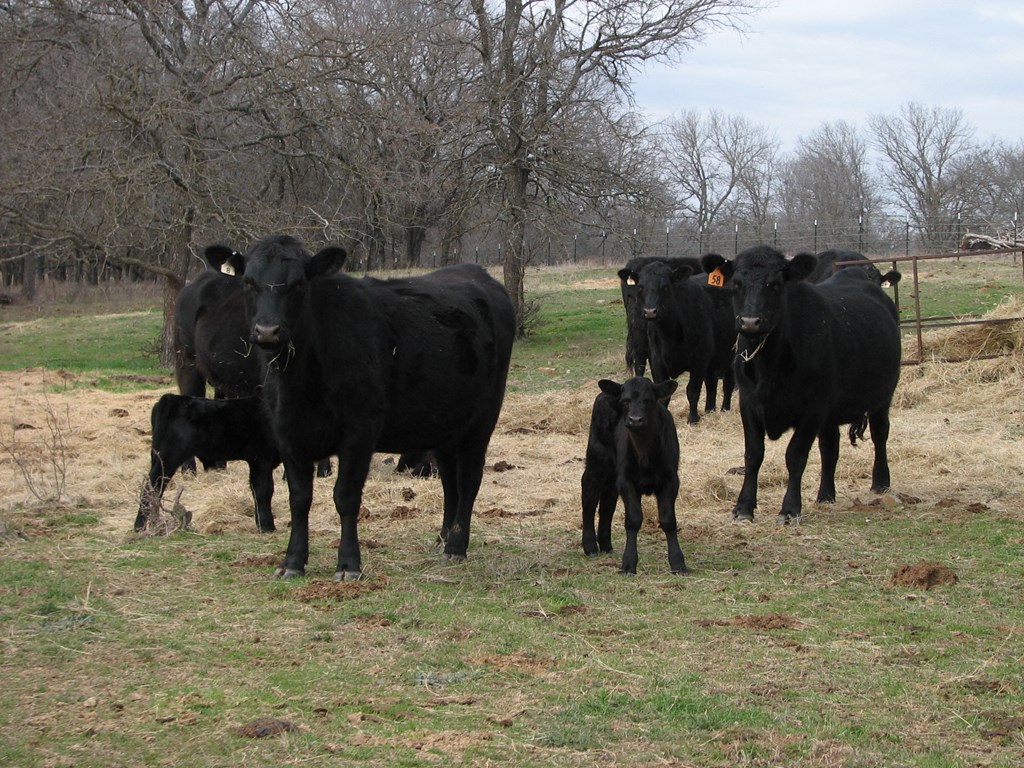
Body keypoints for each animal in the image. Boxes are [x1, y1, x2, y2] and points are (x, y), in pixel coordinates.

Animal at [136, 393, 282, 532]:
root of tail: (170, 398)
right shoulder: (260, 459)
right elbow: (263, 491)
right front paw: (266, 526)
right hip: (169, 458)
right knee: (150, 488)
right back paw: (140, 526)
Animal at [235, 231, 516, 581]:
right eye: (248, 282)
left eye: (299, 283)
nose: (267, 330)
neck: (301, 382)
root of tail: (476, 273)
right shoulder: (287, 433)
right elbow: (299, 498)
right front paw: (292, 562)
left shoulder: (359, 432)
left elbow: (345, 496)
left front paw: (348, 564)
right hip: (445, 423)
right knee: (450, 482)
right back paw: (442, 540)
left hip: (482, 419)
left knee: (468, 480)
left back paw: (456, 546)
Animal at [585, 376, 688, 573]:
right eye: (625, 401)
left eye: (648, 400)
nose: (635, 420)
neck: (644, 453)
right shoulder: (626, 480)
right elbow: (633, 519)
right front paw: (628, 563)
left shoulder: (671, 480)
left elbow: (668, 520)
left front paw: (678, 562)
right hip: (597, 458)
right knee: (589, 496)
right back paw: (590, 546)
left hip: (613, 472)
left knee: (607, 502)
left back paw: (605, 544)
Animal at [716, 249, 901, 528]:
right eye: (736, 284)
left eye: (776, 284)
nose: (750, 322)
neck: (769, 363)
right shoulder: (748, 404)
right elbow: (753, 455)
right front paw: (744, 507)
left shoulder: (812, 409)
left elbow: (796, 456)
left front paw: (790, 509)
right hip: (831, 413)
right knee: (830, 447)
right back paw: (825, 495)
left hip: (882, 397)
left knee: (880, 434)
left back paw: (880, 482)